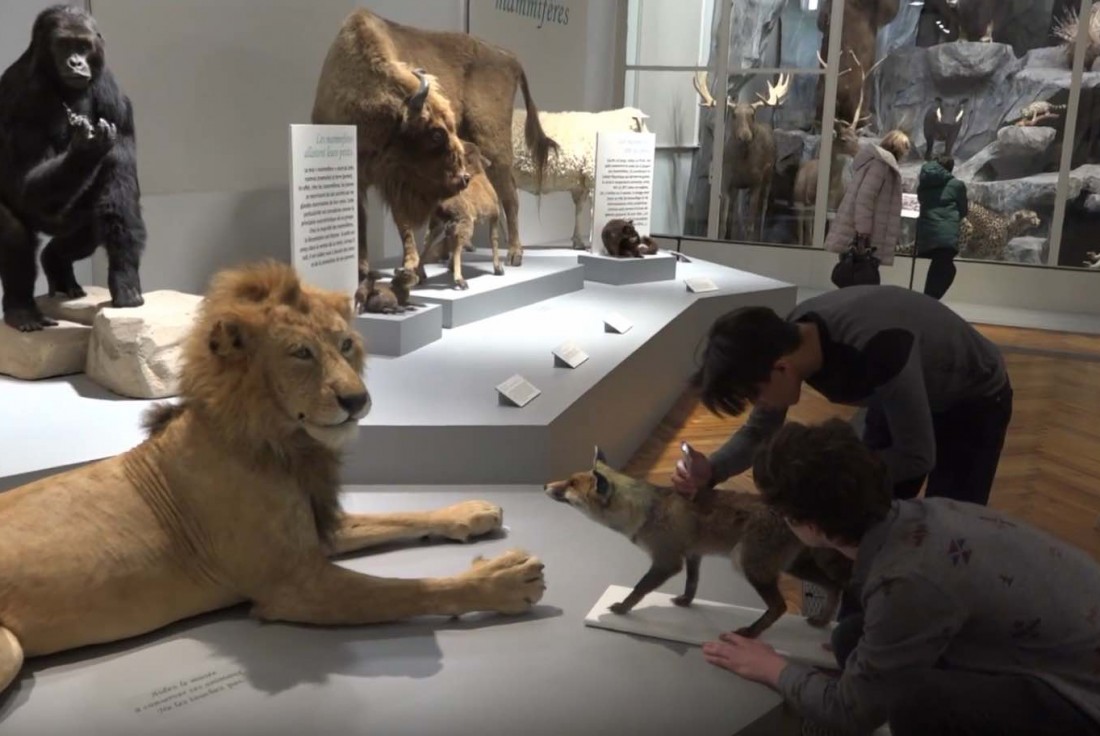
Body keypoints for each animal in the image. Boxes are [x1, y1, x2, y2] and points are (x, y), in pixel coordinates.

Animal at [0, 4, 145, 332]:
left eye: (83, 46)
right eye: (65, 44)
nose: (76, 62)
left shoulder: (110, 90)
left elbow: (119, 180)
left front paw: (125, 279)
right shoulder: (23, 93)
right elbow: (25, 178)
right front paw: (85, 151)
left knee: (91, 225)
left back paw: (56, 262)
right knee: (12, 227)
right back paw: (21, 308)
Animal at [312, 9, 554, 283]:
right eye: (437, 134)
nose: (463, 179)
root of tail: (511, 58)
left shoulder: (394, 178)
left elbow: (401, 219)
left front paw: (408, 266)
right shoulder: (359, 174)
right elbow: (361, 219)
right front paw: (362, 270)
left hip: (494, 142)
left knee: (510, 195)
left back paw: (514, 254)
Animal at [545, 444, 853, 633]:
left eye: (571, 484)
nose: (545, 484)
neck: (647, 511)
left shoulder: (667, 561)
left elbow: (639, 589)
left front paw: (622, 609)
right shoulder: (693, 553)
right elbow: (692, 584)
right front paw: (685, 602)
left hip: (750, 566)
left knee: (781, 606)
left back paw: (750, 634)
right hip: (794, 567)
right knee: (835, 586)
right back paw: (823, 620)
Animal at [686, 71, 792, 239]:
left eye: (752, 114)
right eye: (734, 114)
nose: (745, 135)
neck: (743, 163)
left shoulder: (756, 181)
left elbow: (750, 225)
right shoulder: (727, 181)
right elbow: (723, 223)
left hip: (769, 175)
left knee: (764, 207)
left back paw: (761, 235)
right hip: (737, 187)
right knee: (734, 210)